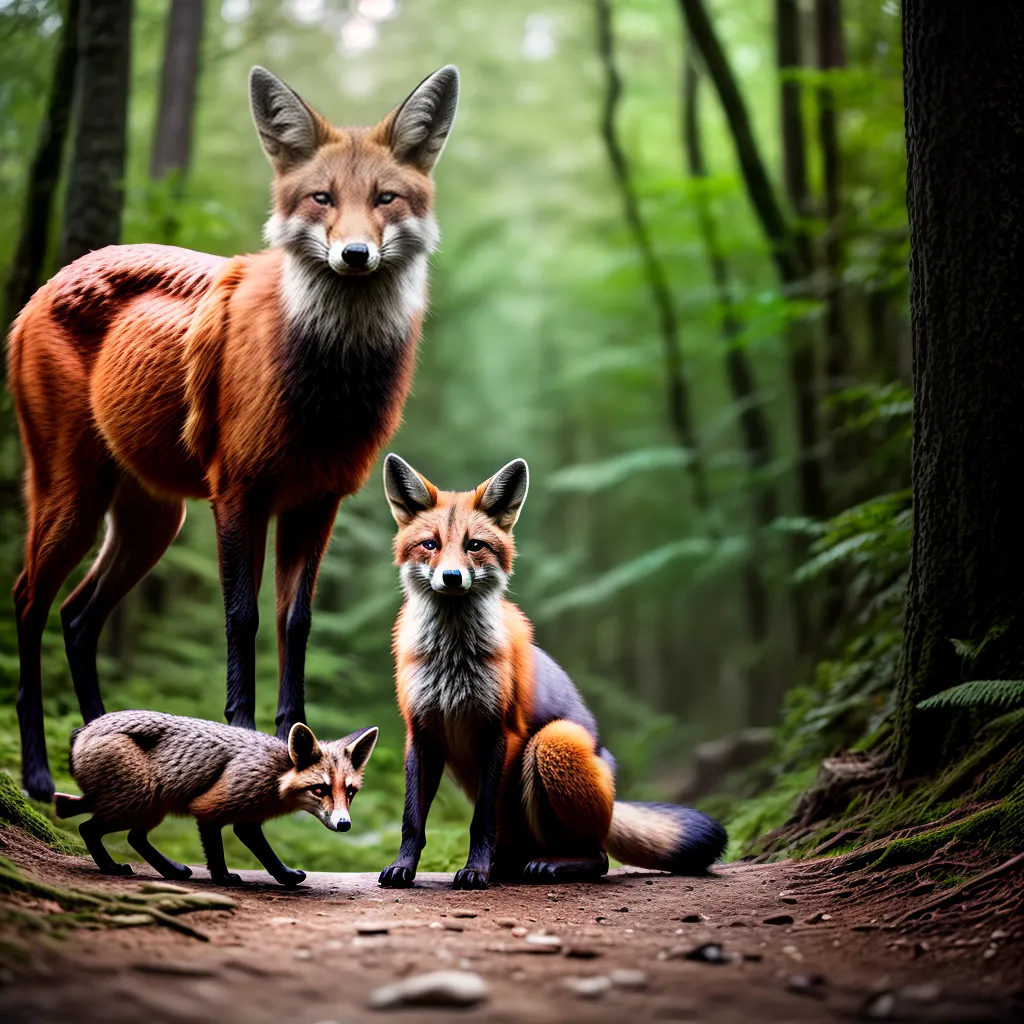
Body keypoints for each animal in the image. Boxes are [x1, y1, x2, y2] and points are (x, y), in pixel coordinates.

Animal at [7, 64, 458, 801]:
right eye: (322, 198)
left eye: (386, 198)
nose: (354, 254)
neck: (325, 388)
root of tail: (45, 286)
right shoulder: (238, 493)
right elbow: (241, 618)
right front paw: (245, 738)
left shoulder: (318, 502)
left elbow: (295, 624)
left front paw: (296, 742)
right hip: (75, 499)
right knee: (28, 600)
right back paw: (41, 773)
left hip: (149, 523)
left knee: (77, 618)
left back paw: (107, 749)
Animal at [53, 710, 378, 887]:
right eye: (320, 789)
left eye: (349, 791)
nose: (344, 824)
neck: (274, 775)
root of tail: (84, 728)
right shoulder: (211, 809)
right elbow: (218, 853)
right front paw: (223, 878)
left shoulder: (248, 819)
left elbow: (267, 855)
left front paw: (285, 877)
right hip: (136, 804)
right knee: (88, 828)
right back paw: (110, 867)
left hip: (149, 809)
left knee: (134, 838)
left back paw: (171, 870)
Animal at [376, 455, 728, 890]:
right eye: (430, 544)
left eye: (474, 545)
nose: (452, 577)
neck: (453, 664)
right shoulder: (421, 731)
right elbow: (412, 821)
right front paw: (403, 868)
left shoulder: (500, 730)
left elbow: (483, 822)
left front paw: (476, 870)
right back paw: (512, 866)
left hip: (553, 742)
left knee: (599, 857)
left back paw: (548, 865)